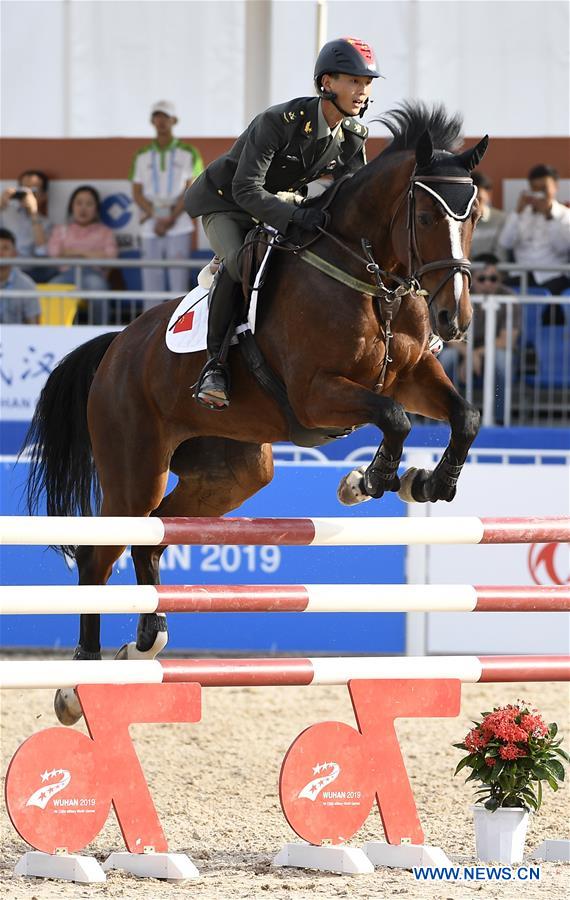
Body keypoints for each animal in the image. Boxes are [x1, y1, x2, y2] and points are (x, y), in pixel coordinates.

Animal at [26, 103, 486, 724]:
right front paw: (368, 480)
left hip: (232, 474)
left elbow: (464, 416)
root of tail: (114, 347)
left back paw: (145, 642)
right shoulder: (317, 392)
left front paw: (427, 483)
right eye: (423, 212)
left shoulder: (413, 375)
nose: (453, 319)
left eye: (475, 214)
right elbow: (395, 418)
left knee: (153, 534)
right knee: (102, 555)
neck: (370, 280)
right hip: (133, 468)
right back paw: (79, 684)